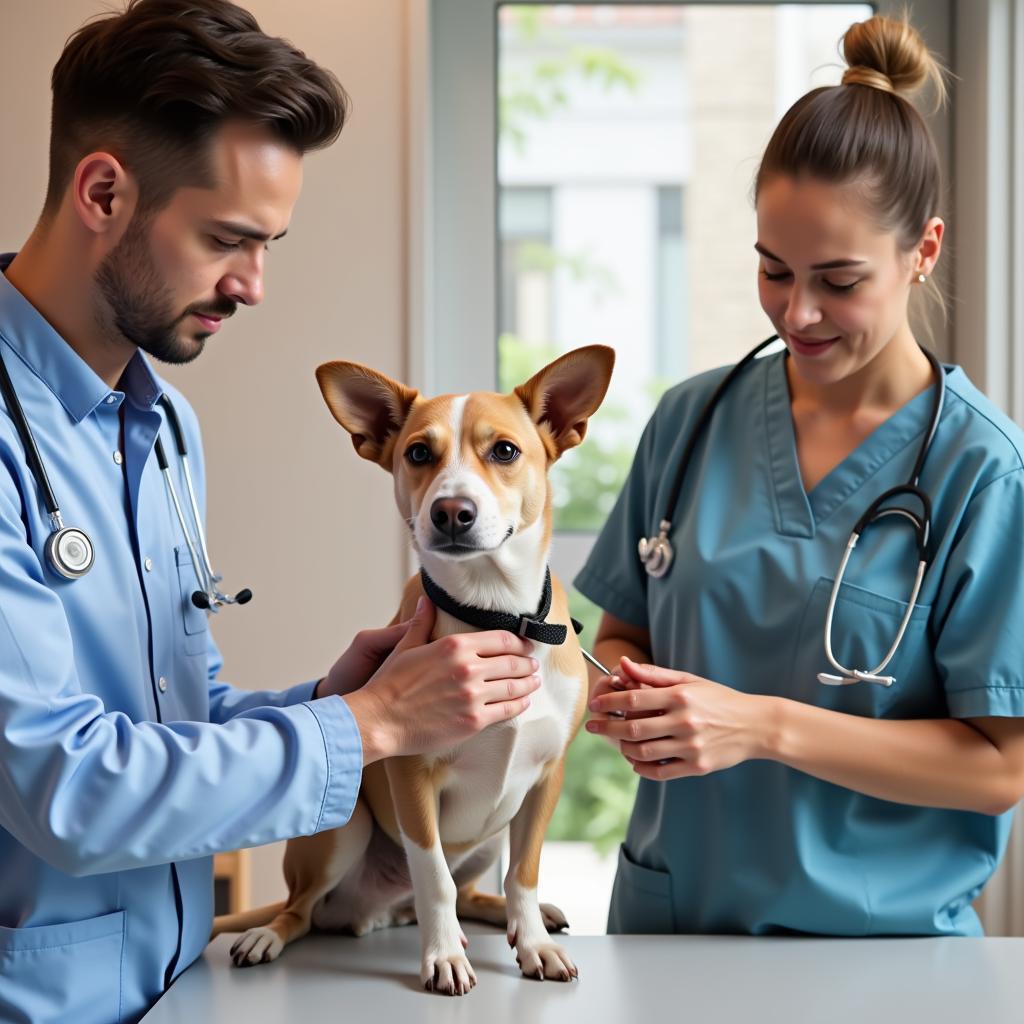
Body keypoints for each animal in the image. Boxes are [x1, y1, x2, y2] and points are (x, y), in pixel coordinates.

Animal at [211, 344, 614, 991]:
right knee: (301, 911)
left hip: (490, 832)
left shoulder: (546, 779)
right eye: (419, 453)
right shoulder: (410, 775)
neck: (494, 614)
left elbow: (522, 875)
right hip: (341, 828)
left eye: (505, 451)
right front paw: (445, 955)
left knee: (479, 887)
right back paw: (265, 935)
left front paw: (532, 943)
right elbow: (434, 878)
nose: (452, 511)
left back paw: (517, 917)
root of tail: (374, 912)